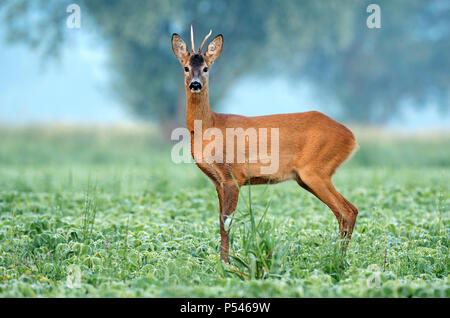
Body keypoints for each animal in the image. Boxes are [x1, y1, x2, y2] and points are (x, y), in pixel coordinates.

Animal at [172, 25, 358, 264]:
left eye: (205, 68)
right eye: (186, 67)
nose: (195, 84)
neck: (209, 127)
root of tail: (351, 136)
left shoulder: (233, 175)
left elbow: (227, 222)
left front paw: (227, 264)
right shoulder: (217, 181)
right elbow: (220, 221)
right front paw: (223, 261)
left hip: (316, 170)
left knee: (347, 211)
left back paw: (338, 261)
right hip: (306, 177)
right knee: (347, 211)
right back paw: (338, 259)